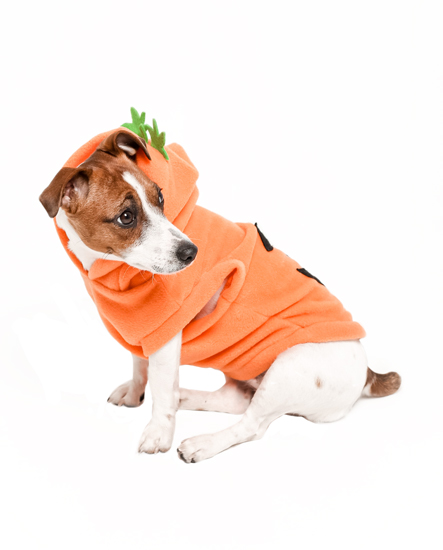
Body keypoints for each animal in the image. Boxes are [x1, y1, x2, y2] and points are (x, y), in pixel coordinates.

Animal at [39, 128, 401, 463]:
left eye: (160, 198)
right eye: (126, 217)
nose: (191, 252)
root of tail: (368, 374)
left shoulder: (164, 334)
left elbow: (160, 386)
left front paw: (158, 432)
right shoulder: (142, 327)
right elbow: (140, 366)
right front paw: (136, 392)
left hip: (288, 368)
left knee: (252, 425)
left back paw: (202, 442)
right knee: (235, 400)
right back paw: (185, 396)